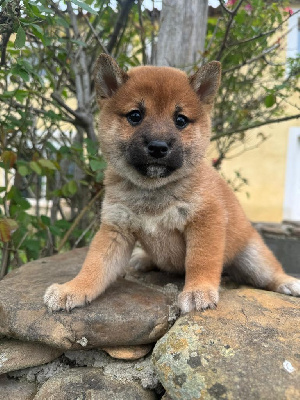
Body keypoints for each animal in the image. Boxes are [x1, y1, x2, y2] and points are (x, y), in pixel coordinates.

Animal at [44, 54, 300, 314]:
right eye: (135, 116)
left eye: (180, 120)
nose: (158, 147)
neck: (154, 189)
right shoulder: (115, 229)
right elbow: (95, 265)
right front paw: (73, 288)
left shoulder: (205, 221)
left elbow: (200, 260)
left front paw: (198, 291)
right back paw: (144, 259)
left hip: (254, 258)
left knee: (270, 273)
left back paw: (288, 283)